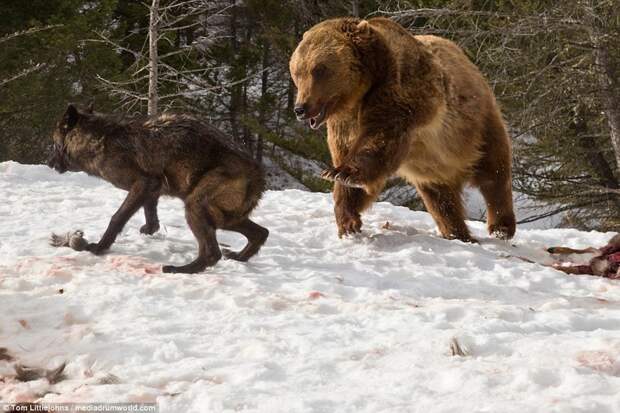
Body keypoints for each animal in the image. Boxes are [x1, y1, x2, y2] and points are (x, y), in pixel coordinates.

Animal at [48, 103, 268, 272]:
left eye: (54, 144)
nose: (50, 163)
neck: (100, 139)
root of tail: (259, 173)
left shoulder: (144, 183)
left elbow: (117, 218)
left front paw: (99, 248)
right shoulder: (153, 189)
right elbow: (151, 217)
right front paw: (148, 230)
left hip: (195, 207)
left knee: (213, 253)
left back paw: (180, 270)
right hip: (223, 218)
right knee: (261, 233)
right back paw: (238, 257)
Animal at [288, 16, 516, 241]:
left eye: (319, 69)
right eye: (297, 71)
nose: (300, 108)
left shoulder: (402, 92)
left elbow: (379, 139)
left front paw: (343, 173)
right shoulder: (344, 123)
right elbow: (350, 162)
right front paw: (348, 222)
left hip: (475, 125)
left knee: (493, 171)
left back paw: (501, 227)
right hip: (433, 166)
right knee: (440, 197)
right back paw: (457, 232)